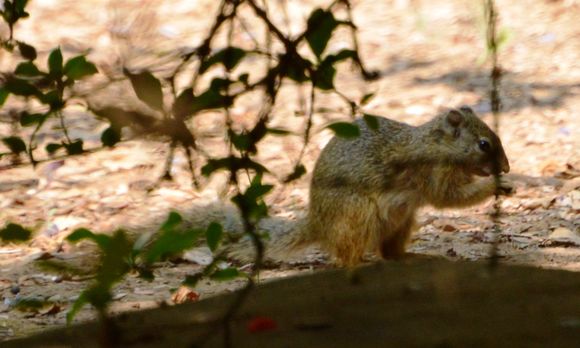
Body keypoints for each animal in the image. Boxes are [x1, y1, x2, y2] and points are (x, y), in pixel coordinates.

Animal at [231, 104, 512, 266]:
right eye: (483, 144)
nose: (507, 168)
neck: (438, 145)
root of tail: (318, 224)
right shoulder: (433, 173)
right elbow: (449, 197)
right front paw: (496, 184)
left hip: (402, 221)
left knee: (389, 252)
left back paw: (412, 256)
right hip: (358, 214)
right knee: (346, 257)